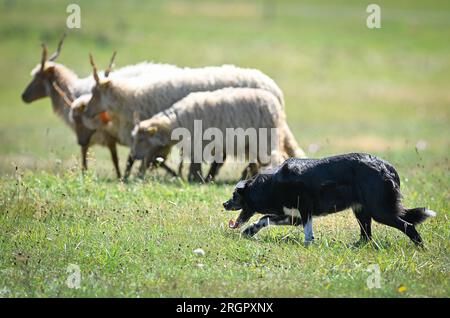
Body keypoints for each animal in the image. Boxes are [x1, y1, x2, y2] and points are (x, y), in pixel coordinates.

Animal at [130, 87, 292, 181]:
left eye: (142, 139)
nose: (134, 156)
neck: (176, 122)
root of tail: (275, 104)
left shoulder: (198, 142)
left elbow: (195, 163)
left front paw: (194, 179)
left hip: (266, 137)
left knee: (275, 158)